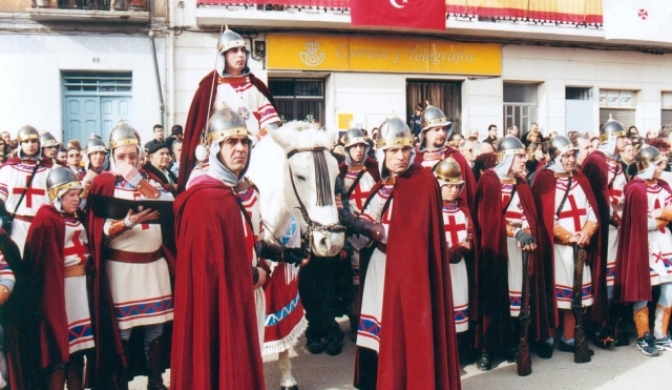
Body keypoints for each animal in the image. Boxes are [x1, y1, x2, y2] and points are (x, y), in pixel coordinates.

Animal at [247, 122, 346, 390]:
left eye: (335, 174)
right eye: (300, 176)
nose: (331, 242)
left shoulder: (282, 289)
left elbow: (283, 331)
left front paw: (287, 379)